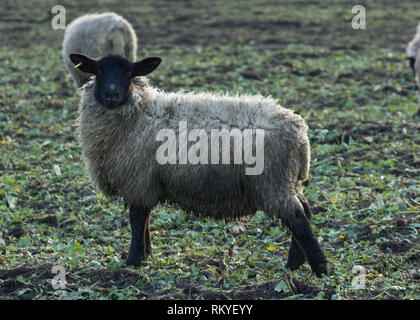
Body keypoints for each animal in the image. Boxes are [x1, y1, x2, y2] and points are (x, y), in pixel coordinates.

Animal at [68, 53, 328, 278]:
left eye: (129, 73)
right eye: (99, 70)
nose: (112, 93)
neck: (138, 113)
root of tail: (298, 130)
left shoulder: (138, 180)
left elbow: (137, 221)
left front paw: (133, 260)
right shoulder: (147, 181)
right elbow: (145, 221)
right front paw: (146, 254)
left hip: (273, 182)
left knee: (298, 217)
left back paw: (320, 270)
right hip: (287, 180)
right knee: (304, 210)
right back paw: (294, 265)